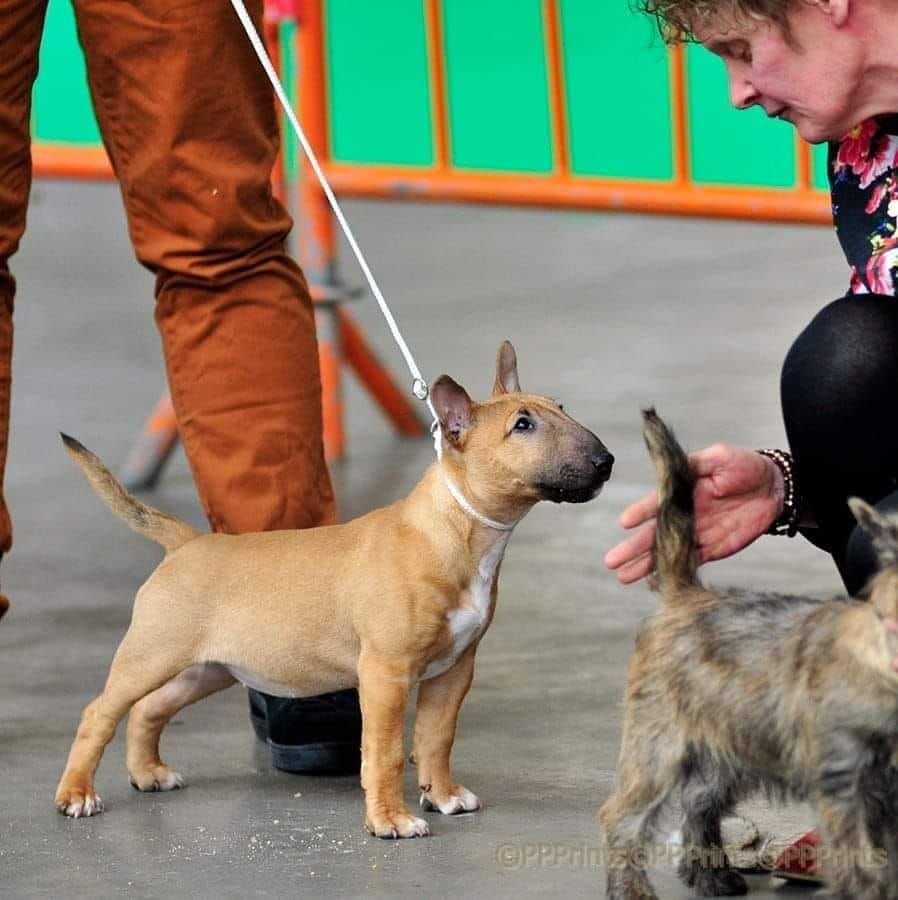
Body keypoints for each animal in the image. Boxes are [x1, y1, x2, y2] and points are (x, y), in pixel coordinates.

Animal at [600, 410, 898, 900]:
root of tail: (687, 595)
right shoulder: (847, 788)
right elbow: (865, 867)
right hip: (658, 748)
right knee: (622, 818)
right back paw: (634, 891)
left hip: (724, 747)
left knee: (699, 801)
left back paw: (711, 875)